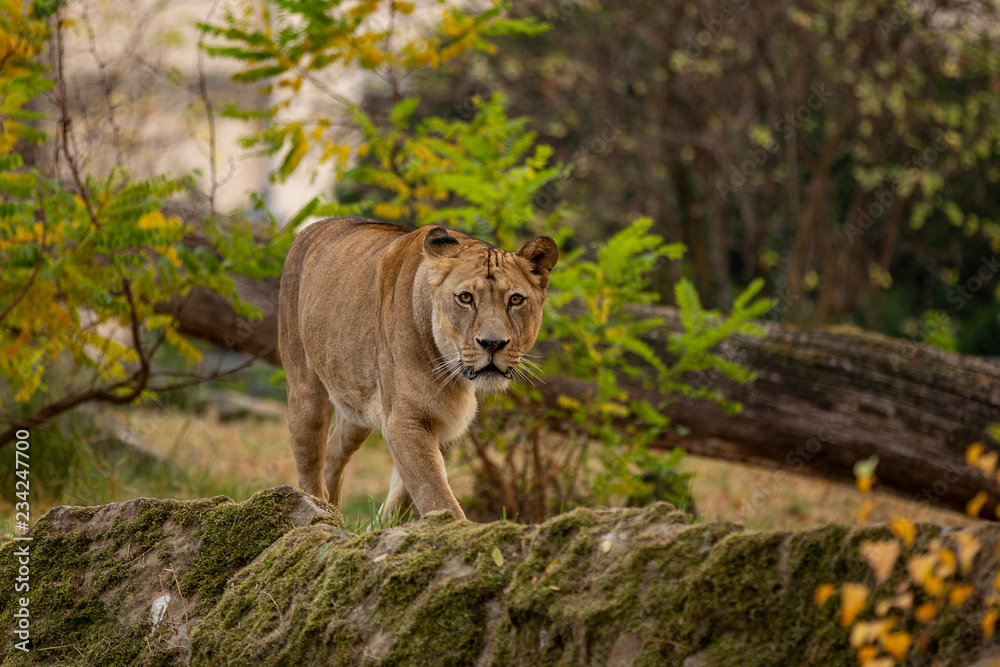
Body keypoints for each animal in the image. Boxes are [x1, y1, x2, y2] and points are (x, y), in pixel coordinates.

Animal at [278, 217, 558, 521]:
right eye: (465, 298)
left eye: (516, 300)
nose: (492, 343)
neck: (453, 374)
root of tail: (314, 226)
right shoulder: (404, 419)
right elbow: (434, 492)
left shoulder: (441, 424)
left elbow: (406, 495)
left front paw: (383, 526)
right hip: (305, 391)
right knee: (310, 466)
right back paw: (317, 514)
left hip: (356, 408)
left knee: (333, 454)